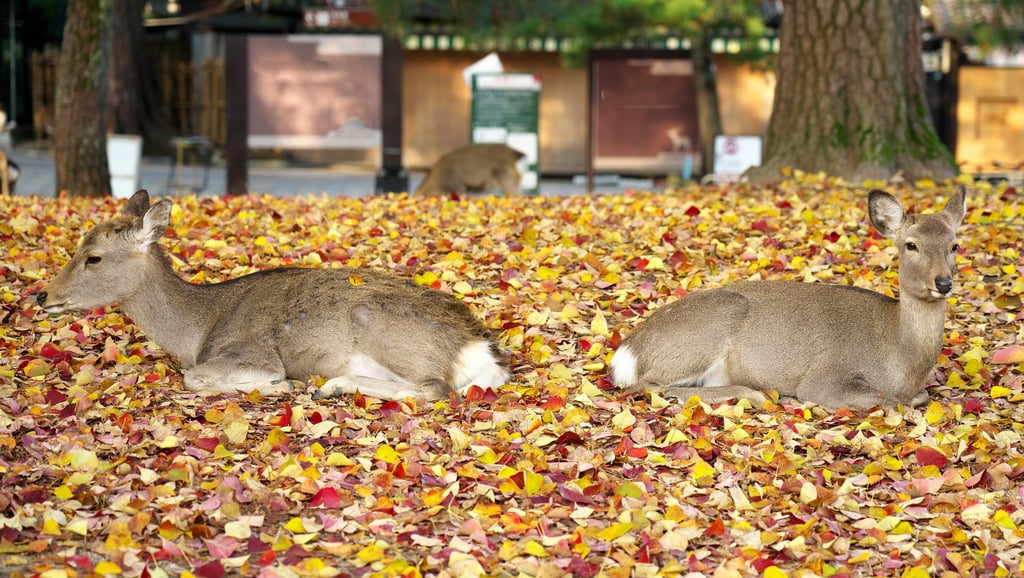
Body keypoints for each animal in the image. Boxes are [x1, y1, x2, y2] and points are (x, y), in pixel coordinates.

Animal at [36, 190, 509, 401]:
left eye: (93, 257)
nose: (44, 296)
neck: (198, 330)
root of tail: (479, 349)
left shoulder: (252, 351)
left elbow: (195, 378)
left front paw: (280, 384)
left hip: (386, 332)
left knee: (437, 388)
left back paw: (328, 385)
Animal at [610, 187, 967, 411]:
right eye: (911, 245)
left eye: (955, 245)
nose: (943, 282)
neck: (900, 360)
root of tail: (629, 350)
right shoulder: (825, 376)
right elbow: (895, 402)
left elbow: (919, 397)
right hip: (709, 328)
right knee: (648, 385)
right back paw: (758, 396)